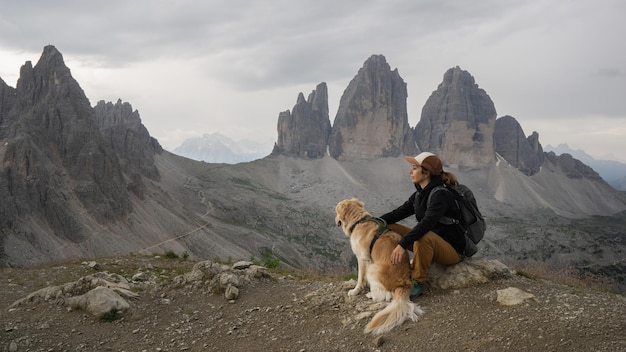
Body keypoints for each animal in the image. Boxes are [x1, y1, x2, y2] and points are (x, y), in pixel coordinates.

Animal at [332, 199, 424, 334]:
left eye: (337, 211)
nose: (335, 220)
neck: (358, 220)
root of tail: (404, 284)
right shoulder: (369, 259)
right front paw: (367, 286)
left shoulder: (362, 258)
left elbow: (360, 277)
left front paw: (356, 290)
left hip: (373, 269)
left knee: (386, 295)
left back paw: (371, 294)